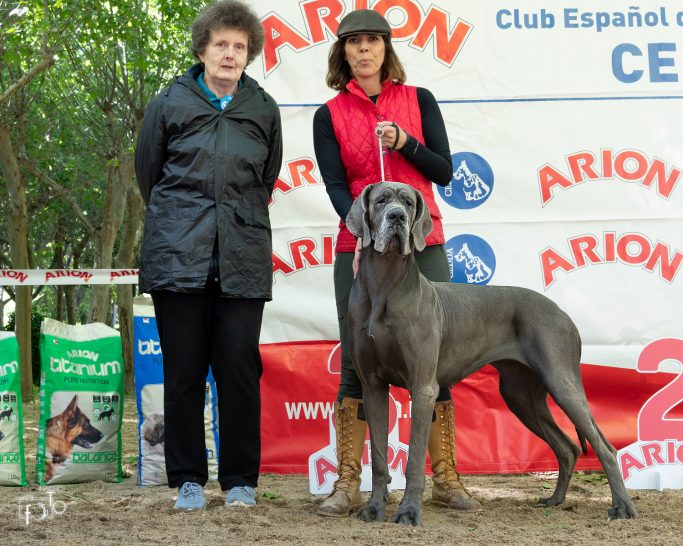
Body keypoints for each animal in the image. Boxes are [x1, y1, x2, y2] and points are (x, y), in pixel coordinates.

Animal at [348, 182, 640, 524]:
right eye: (381, 200)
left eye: (408, 202)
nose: (397, 217)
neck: (384, 284)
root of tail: (562, 312)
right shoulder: (372, 385)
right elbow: (379, 458)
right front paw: (374, 509)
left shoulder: (422, 388)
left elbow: (414, 461)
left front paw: (408, 512)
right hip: (521, 394)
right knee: (568, 447)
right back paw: (555, 500)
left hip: (561, 381)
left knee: (604, 447)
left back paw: (622, 507)